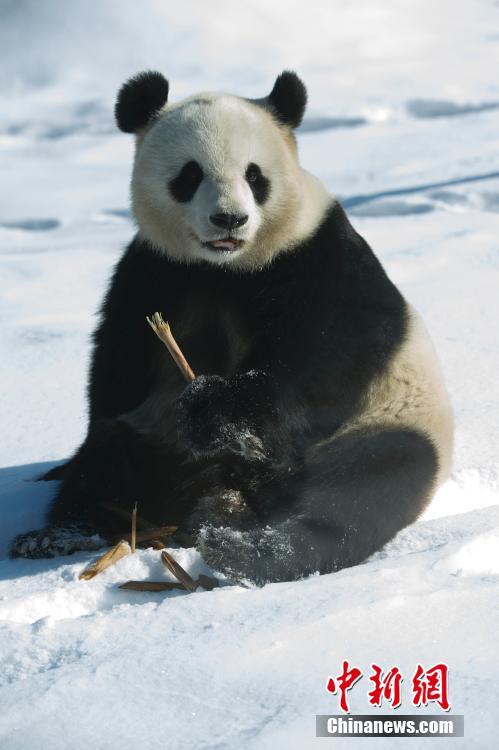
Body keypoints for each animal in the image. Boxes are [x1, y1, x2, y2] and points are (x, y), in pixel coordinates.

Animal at [10, 71, 453, 584]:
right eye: (190, 174)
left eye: (254, 175)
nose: (230, 219)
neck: (223, 268)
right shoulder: (154, 271)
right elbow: (117, 368)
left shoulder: (317, 255)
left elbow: (326, 358)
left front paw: (213, 408)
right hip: (154, 436)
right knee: (110, 460)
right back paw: (62, 534)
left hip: (384, 422)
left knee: (367, 484)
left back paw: (249, 550)